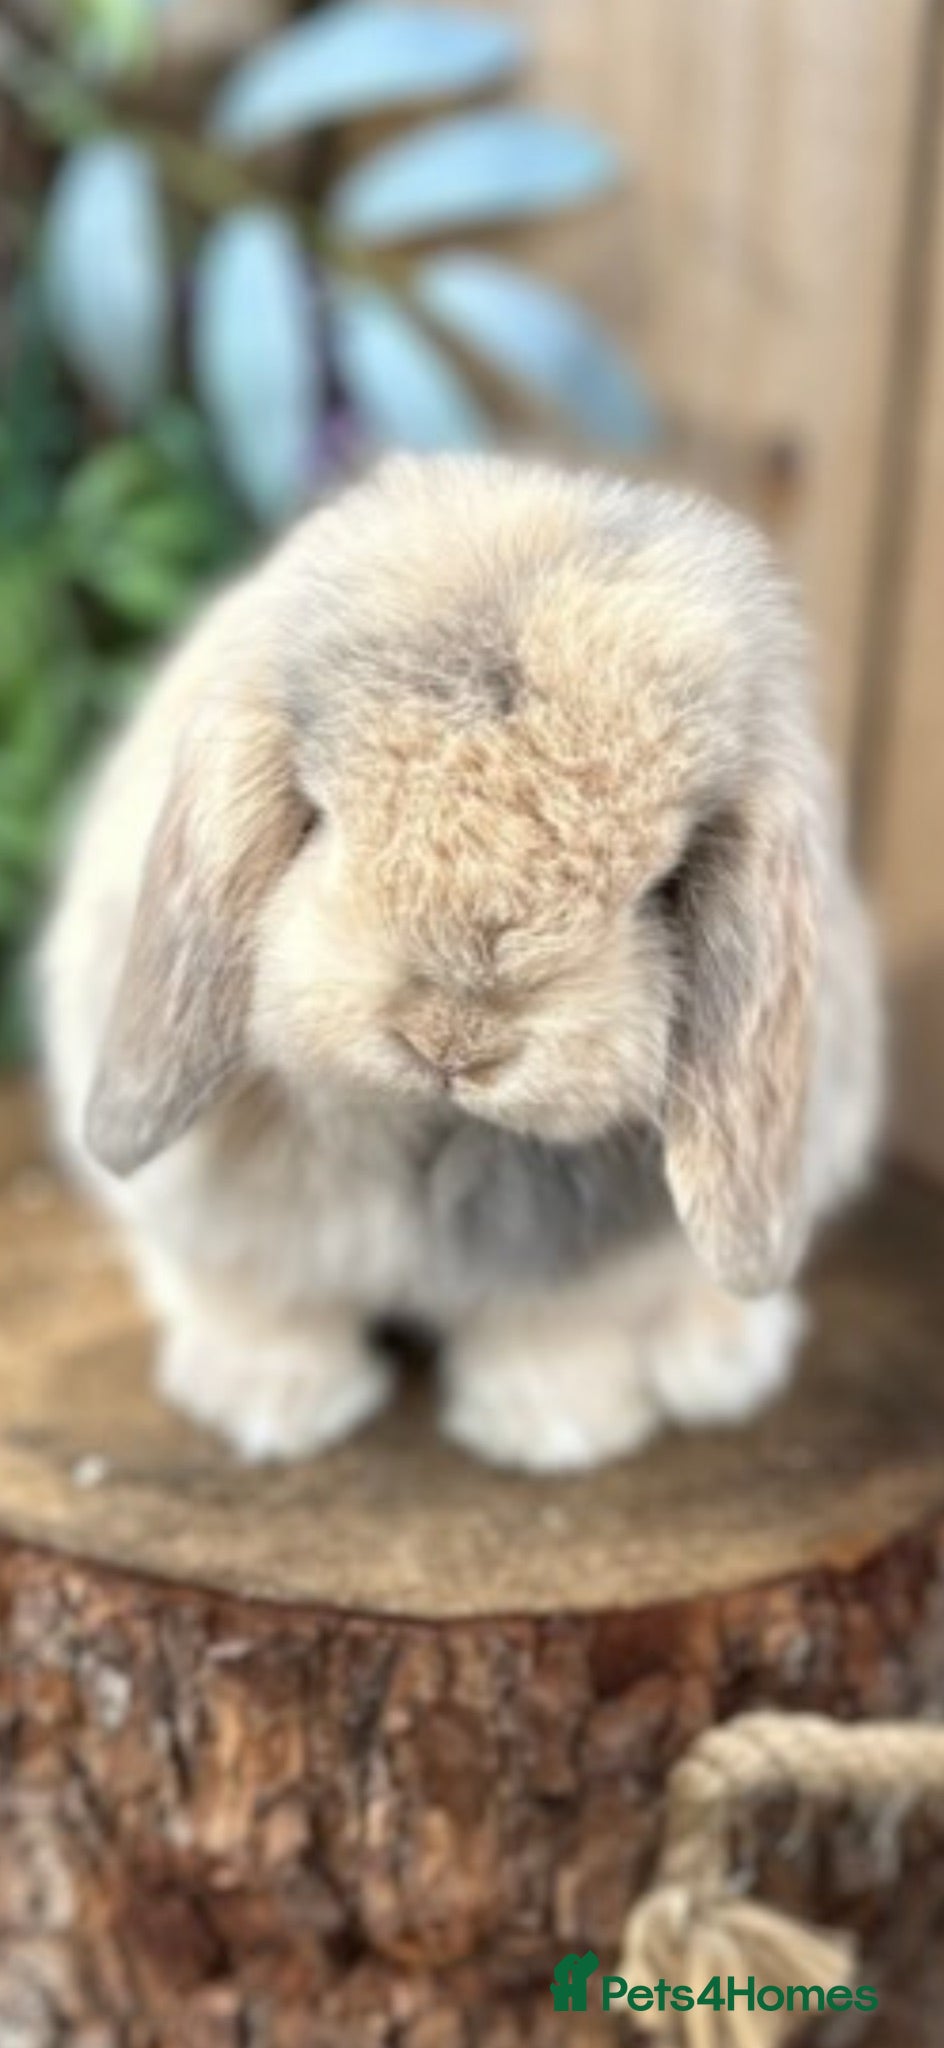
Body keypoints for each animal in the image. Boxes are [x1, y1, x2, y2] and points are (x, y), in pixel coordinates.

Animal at [40, 454, 882, 1472]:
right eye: (320, 815)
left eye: (661, 882)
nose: (452, 1042)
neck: (428, 1128)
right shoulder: (233, 1224)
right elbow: (267, 1299)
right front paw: (270, 1405)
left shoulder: (582, 1263)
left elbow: (553, 1327)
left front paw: (556, 1432)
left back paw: (722, 1363)